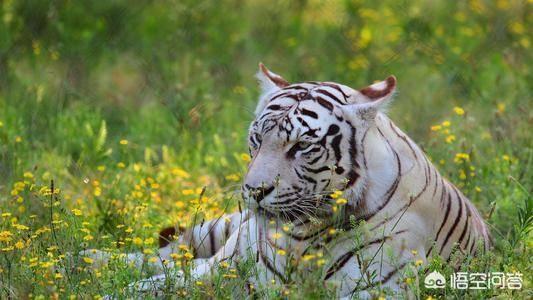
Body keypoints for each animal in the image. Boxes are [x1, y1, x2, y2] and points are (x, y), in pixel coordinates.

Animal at [85, 62, 488, 298]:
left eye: (301, 146)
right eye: (257, 139)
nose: (254, 190)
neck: (303, 236)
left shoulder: (371, 289)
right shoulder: (229, 272)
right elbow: (145, 287)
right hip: (220, 241)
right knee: (165, 259)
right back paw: (84, 259)